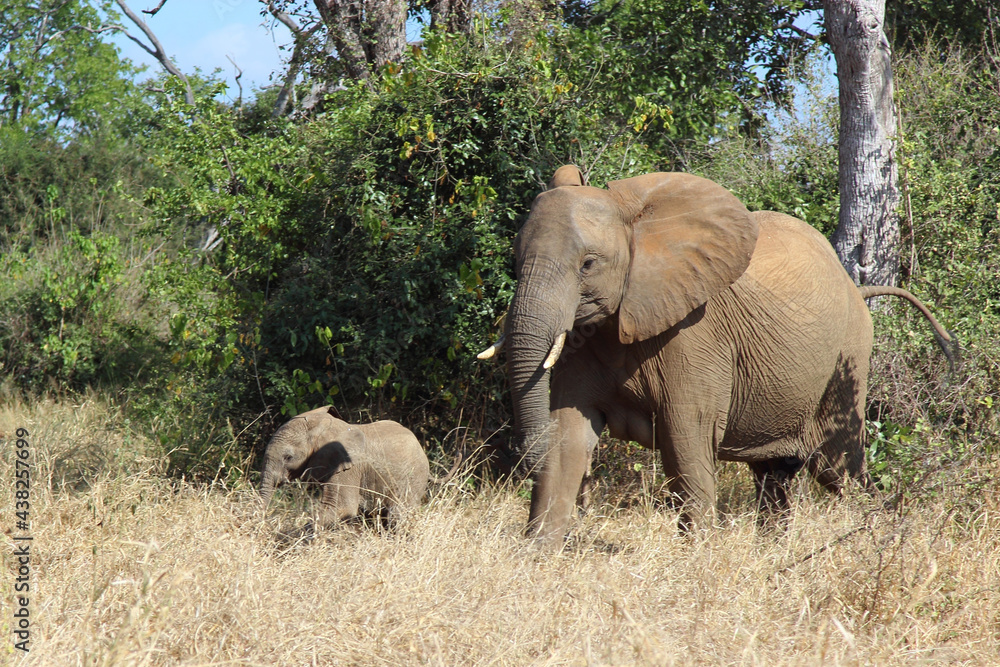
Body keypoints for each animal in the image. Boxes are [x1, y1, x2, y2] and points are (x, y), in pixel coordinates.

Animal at [484, 165, 953, 546]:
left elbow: (685, 440)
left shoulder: (694, 338)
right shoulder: (587, 339)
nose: (520, 457)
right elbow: (568, 436)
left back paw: (876, 539)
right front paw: (537, 555)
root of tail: (859, 289)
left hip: (846, 362)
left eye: (588, 264)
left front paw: (697, 558)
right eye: (515, 259)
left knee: (841, 467)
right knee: (775, 475)